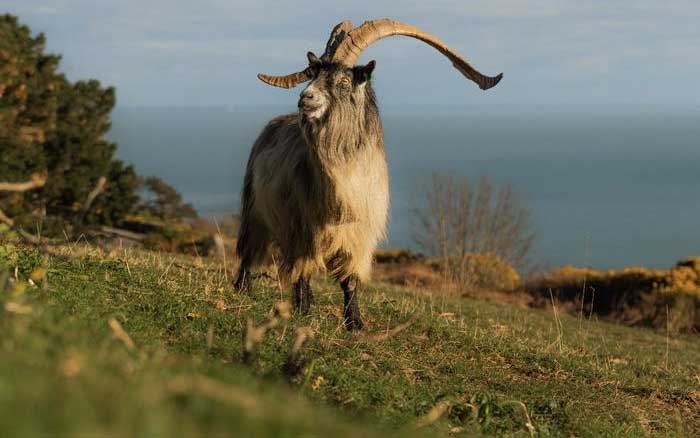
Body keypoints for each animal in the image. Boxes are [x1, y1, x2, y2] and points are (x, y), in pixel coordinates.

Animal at [235, 19, 502, 330]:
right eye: (314, 75)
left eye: (344, 81)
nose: (305, 98)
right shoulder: (302, 228)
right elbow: (302, 270)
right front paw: (303, 311)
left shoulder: (359, 235)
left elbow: (350, 280)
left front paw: (355, 323)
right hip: (255, 209)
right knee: (251, 251)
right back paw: (244, 289)